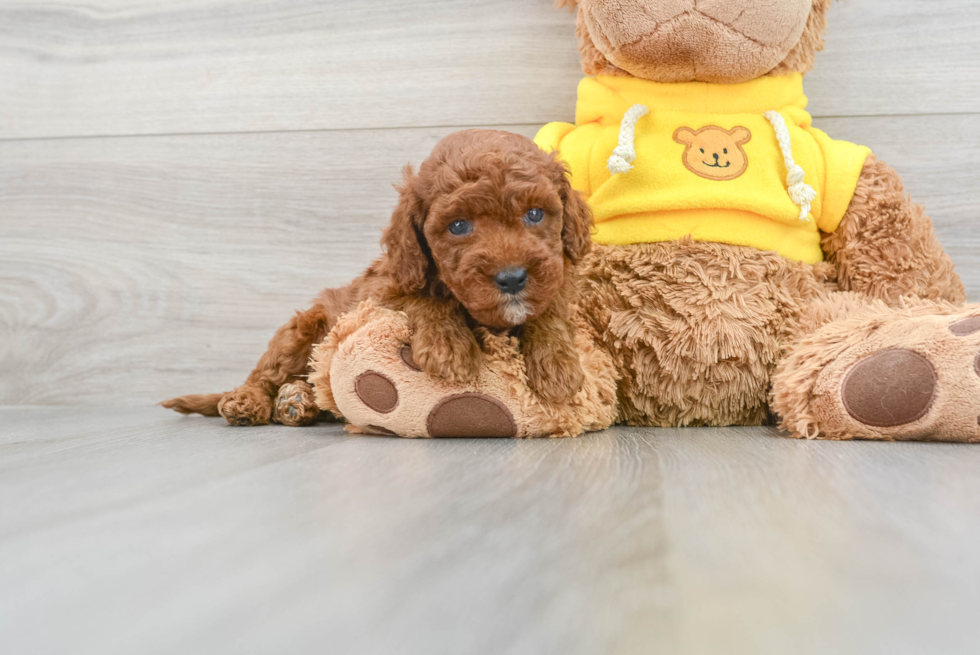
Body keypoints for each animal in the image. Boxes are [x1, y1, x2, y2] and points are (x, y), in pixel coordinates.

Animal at [162, 129, 592, 426]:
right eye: (458, 226)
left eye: (535, 214)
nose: (512, 278)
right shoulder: (383, 288)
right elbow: (424, 297)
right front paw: (448, 346)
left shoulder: (554, 276)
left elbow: (549, 306)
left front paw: (558, 364)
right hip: (301, 330)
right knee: (263, 375)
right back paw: (250, 401)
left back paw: (299, 401)